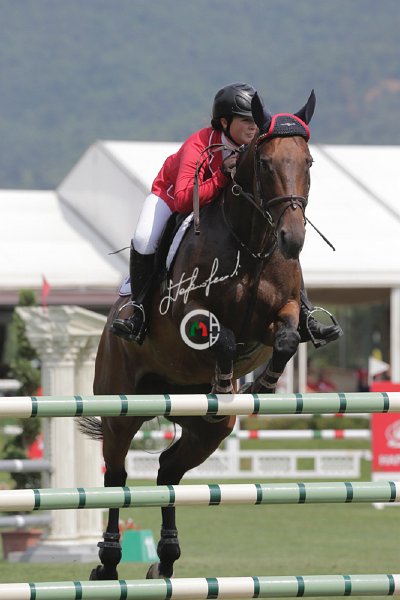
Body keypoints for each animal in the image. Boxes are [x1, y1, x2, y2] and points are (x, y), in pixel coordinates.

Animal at [81, 90, 316, 581]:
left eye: (308, 161)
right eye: (265, 163)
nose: (293, 239)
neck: (252, 243)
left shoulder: (281, 312)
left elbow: (287, 338)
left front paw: (263, 384)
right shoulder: (189, 314)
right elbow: (222, 339)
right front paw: (227, 381)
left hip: (206, 426)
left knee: (169, 471)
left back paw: (165, 560)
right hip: (120, 406)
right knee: (116, 476)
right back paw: (108, 564)